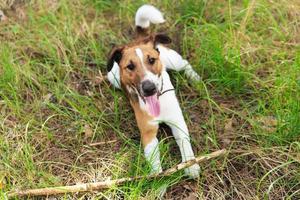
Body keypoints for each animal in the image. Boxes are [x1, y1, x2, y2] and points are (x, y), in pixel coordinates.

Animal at [106, 4, 200, 177]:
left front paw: (191, 165)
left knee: (184, 63)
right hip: (112, 76)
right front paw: (158, 178)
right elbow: (154, 159)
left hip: (172, 60)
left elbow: (185, 143)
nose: (149, 88)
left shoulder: (177, 122)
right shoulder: (148, 133)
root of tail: (138, 39)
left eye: (151, 60)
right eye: (130, 66)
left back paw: (195, 78)